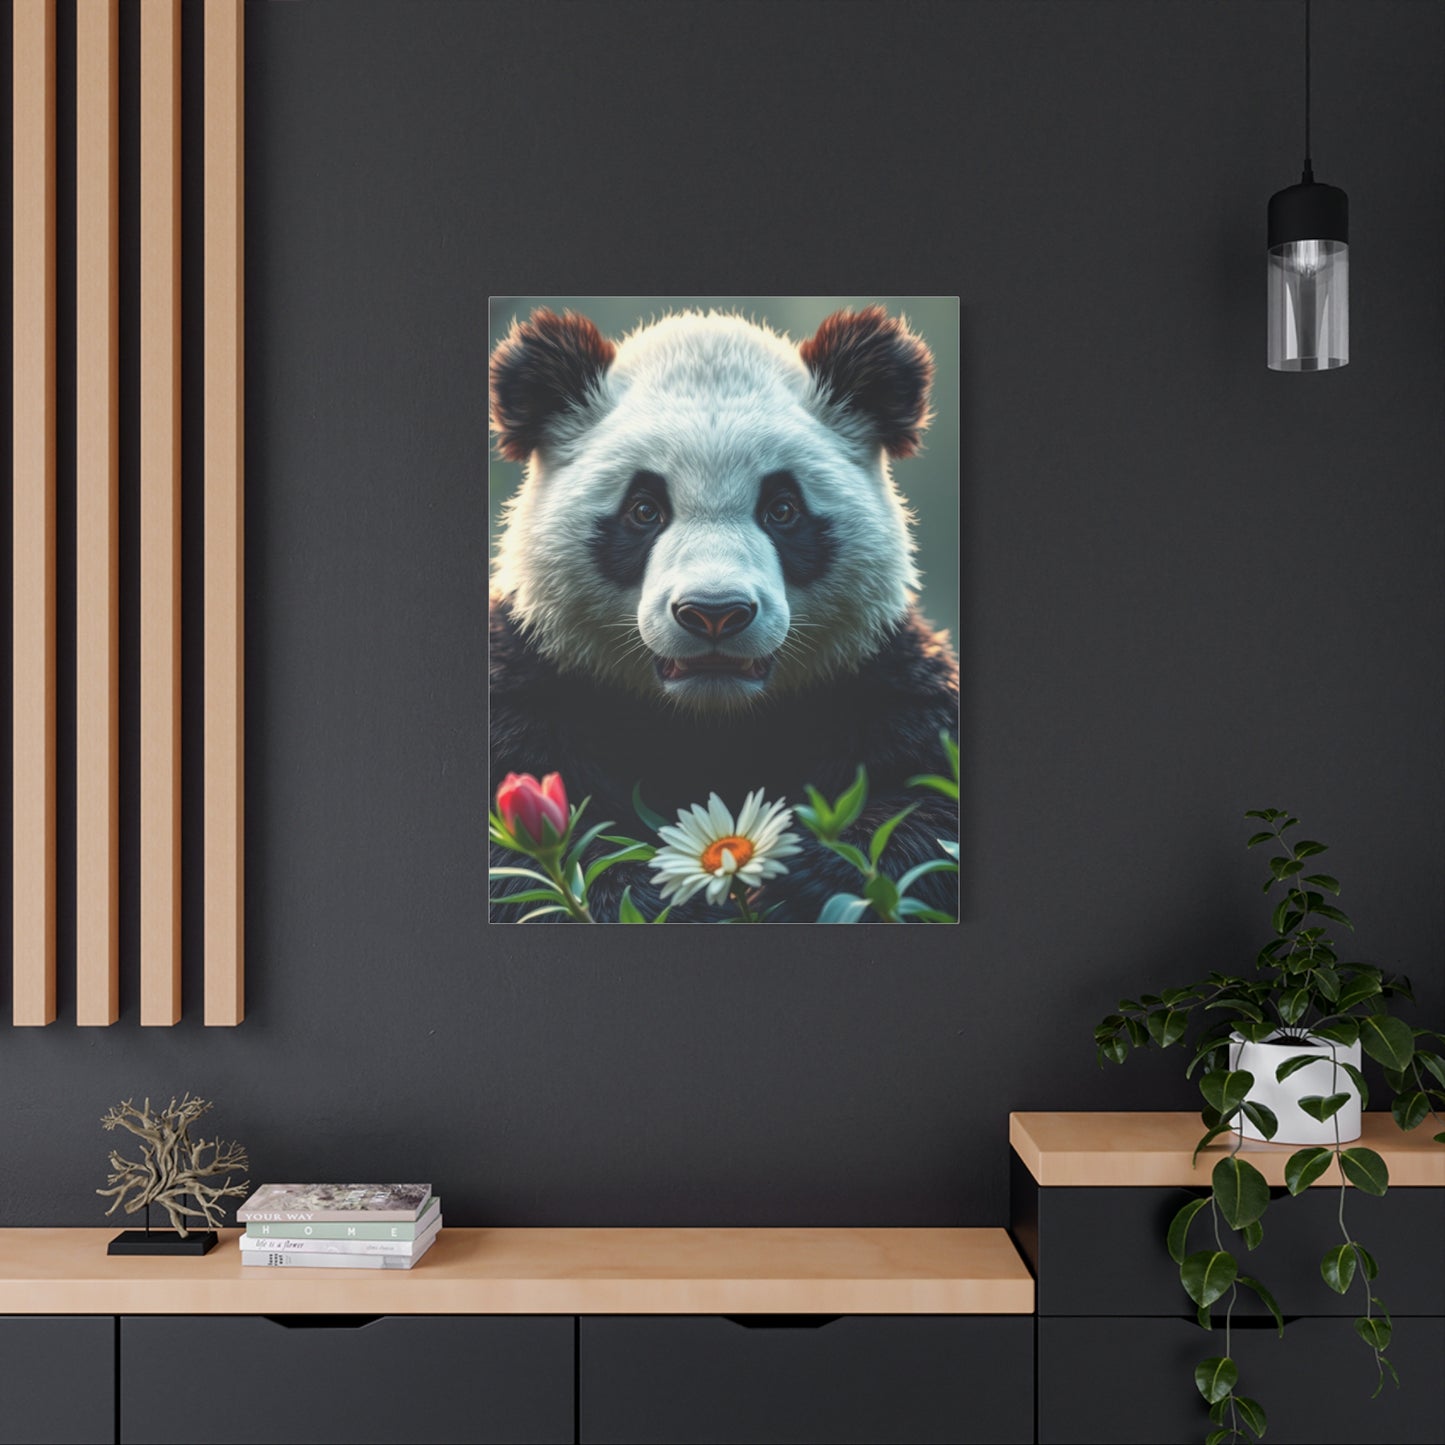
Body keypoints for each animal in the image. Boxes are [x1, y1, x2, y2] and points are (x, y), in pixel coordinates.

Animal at [489, 304, 959, 922]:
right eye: (644, 510)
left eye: (782, 509)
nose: (715, 613)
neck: (710, 721)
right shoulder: (532, 679)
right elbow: (522, 864)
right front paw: (660, 895)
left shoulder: (879, 676)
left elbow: (932, 804)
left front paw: (803, 875)